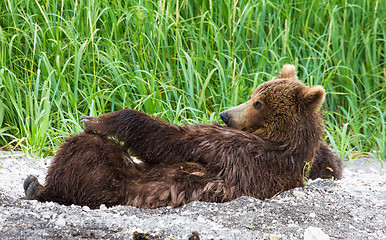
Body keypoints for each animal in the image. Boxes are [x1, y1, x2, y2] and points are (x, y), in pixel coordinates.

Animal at [24, 64, 342, 209]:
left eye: (258, 103)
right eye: (253, 95)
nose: (226, 115)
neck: (280, 141)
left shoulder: (240, 151)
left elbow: (175, 140)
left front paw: (97, 120)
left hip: (112, 182)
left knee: (86, 152)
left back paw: (40, 185)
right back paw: (33, 182)